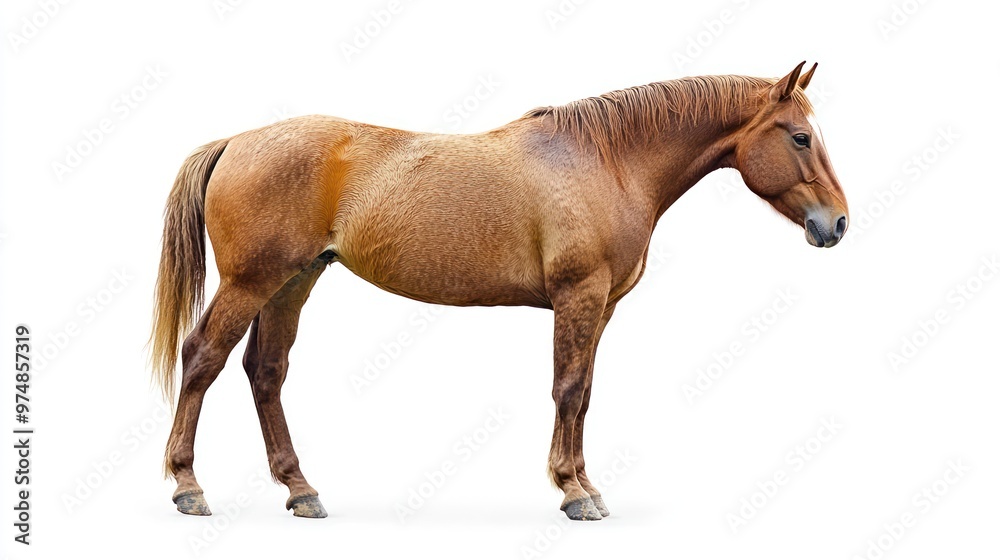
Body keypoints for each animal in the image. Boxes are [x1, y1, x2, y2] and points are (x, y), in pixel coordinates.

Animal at [149, 61, 848, 521]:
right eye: (800, 137)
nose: (837, 224)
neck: (606, 161)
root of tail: (235, 142)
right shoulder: (578, 297)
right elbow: (567, 388)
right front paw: (572, 492)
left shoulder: (602, 309)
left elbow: (585, 394)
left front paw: (588, 486)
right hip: (251, 282)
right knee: (203, 358)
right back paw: (187, 486)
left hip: (294, 281)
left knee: (265, 372)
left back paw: (301, 490)